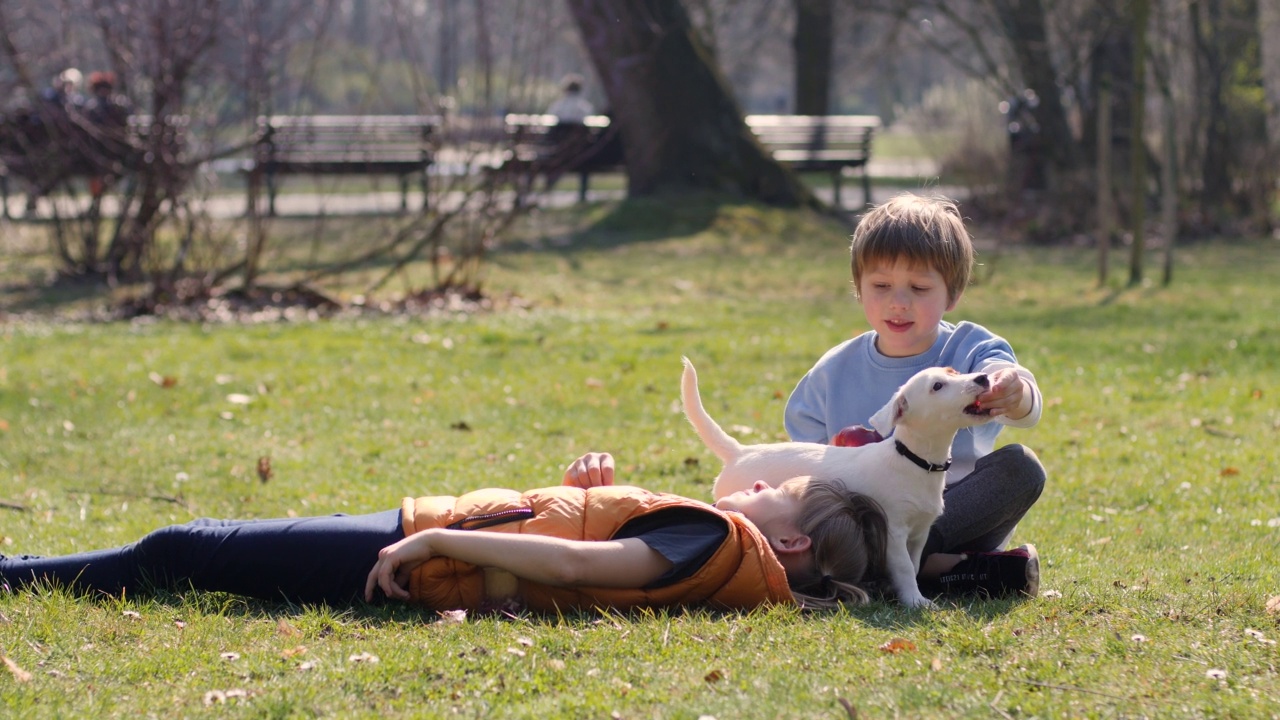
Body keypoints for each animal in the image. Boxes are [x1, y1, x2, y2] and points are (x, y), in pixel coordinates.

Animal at [680, 356, 988, 602]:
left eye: (954, 372)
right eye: (937, 386)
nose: (983, 378)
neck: (915, 461)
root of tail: (739, 451)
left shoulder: (919, 533)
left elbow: (914, 565)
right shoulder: (894, 532)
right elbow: (904, 569)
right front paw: (915, 601)